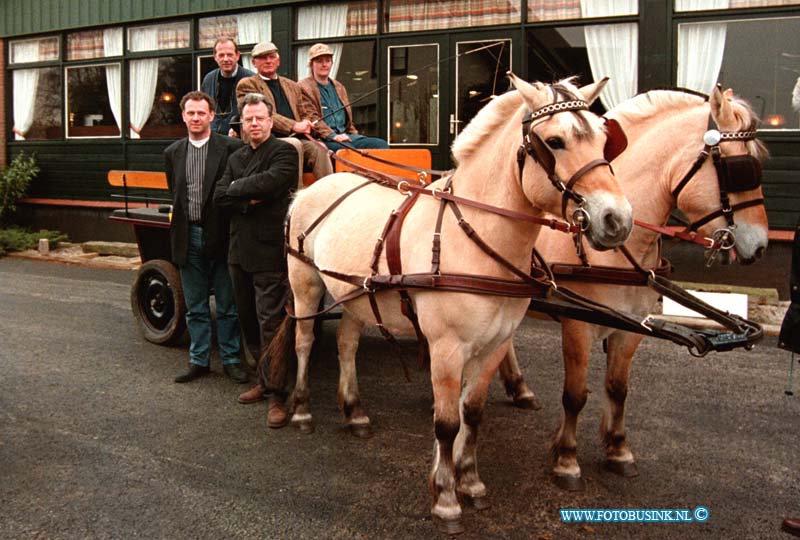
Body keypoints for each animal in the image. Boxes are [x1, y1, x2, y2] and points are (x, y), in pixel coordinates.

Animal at [266, 74, 633, 533]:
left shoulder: (495, 345)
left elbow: (471, 414)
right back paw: (300, 410)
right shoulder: (445, 348)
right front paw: (444, 497)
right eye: (555, 141)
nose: (617, 220)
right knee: (303, 342)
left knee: (346, 344)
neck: (474, 236)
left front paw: (470, 481)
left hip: (355, 294)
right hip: (305, 285)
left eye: (604, 139)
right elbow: (445, 422)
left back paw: (354, 412)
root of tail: (311, 188)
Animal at [498, 85, 769, 490]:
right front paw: (566, 459)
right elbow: (575, 394)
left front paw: (618, 448)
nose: (762, 245)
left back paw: (519, 387)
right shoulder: (578, 326)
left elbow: (618, 388)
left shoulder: (632, 325)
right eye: (736, 170)